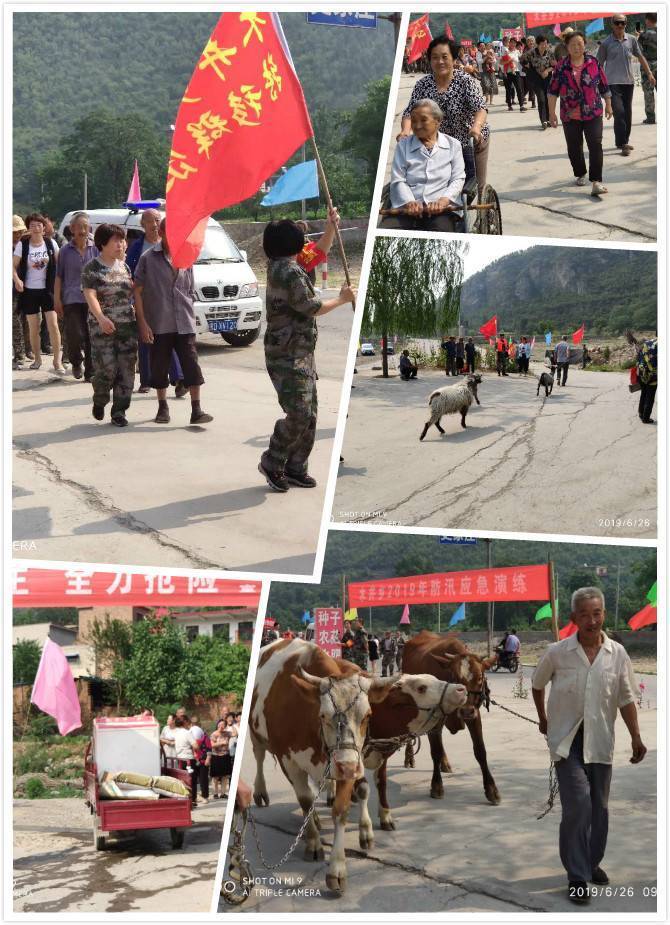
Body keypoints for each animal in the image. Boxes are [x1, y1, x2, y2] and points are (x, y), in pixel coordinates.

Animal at [402, 632, 502, 804]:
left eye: (480, 678)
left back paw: (445, 763)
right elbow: (434, 752)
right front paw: (436, 786)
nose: (466, 711)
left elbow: (480, 750)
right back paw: (409, 758)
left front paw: (491, 789)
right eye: (455, 678)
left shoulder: (474, 715)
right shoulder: (433, 716)